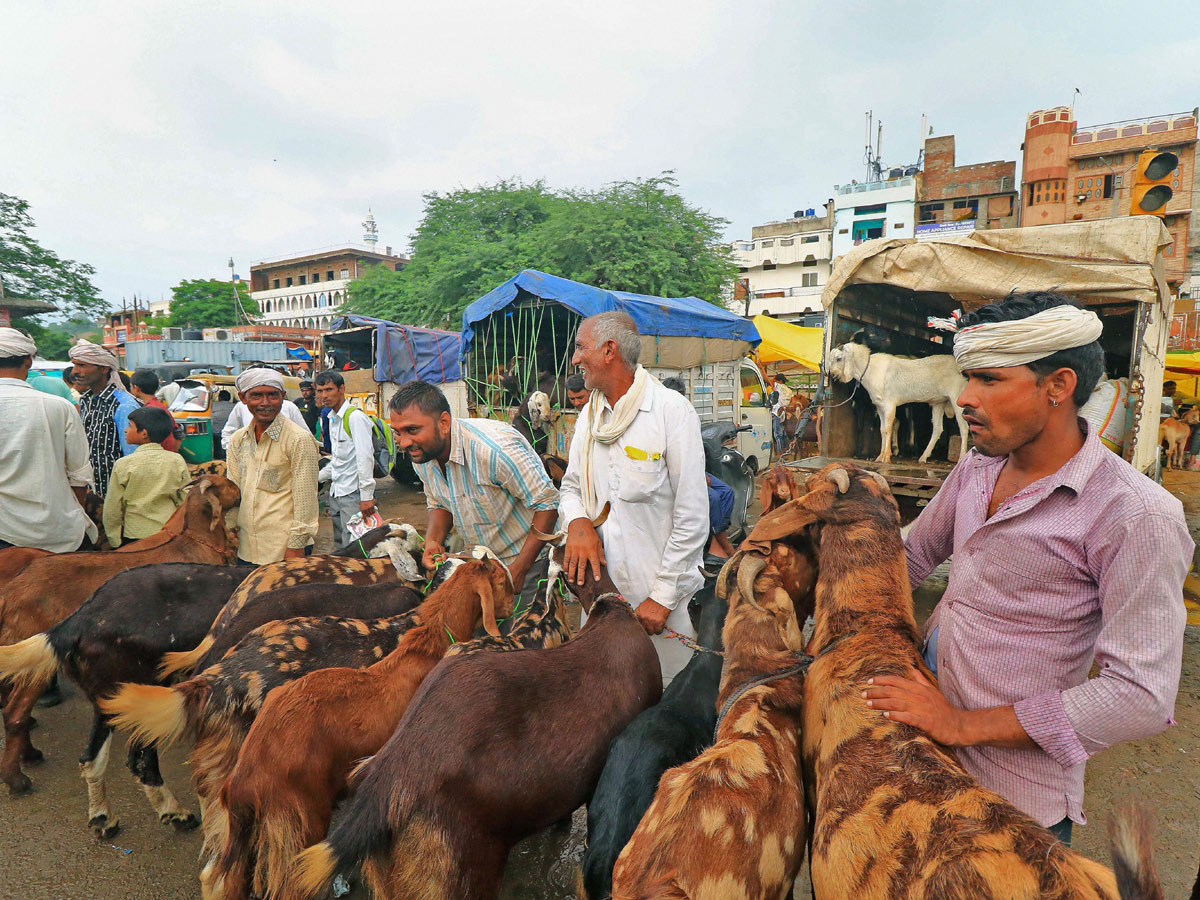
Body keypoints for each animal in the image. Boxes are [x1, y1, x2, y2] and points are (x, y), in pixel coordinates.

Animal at [0, 480, 241, 796]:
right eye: (228, 483)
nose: (241, 492)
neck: (193, 542)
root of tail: (12, 590)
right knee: (14, 712)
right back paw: (17, 778)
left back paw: (28, 754)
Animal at [830, 340, 969, 465]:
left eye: (839, 358)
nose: (833, 375)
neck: (871, 369)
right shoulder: (879, 406)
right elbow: (882, 430)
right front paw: (880, 457)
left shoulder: (890, 404)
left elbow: (888, 429)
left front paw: (886, 457)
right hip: (939, 402)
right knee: (938, 428)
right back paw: (923, 457)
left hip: (956, 397)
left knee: (963, 427)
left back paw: (961, 458)